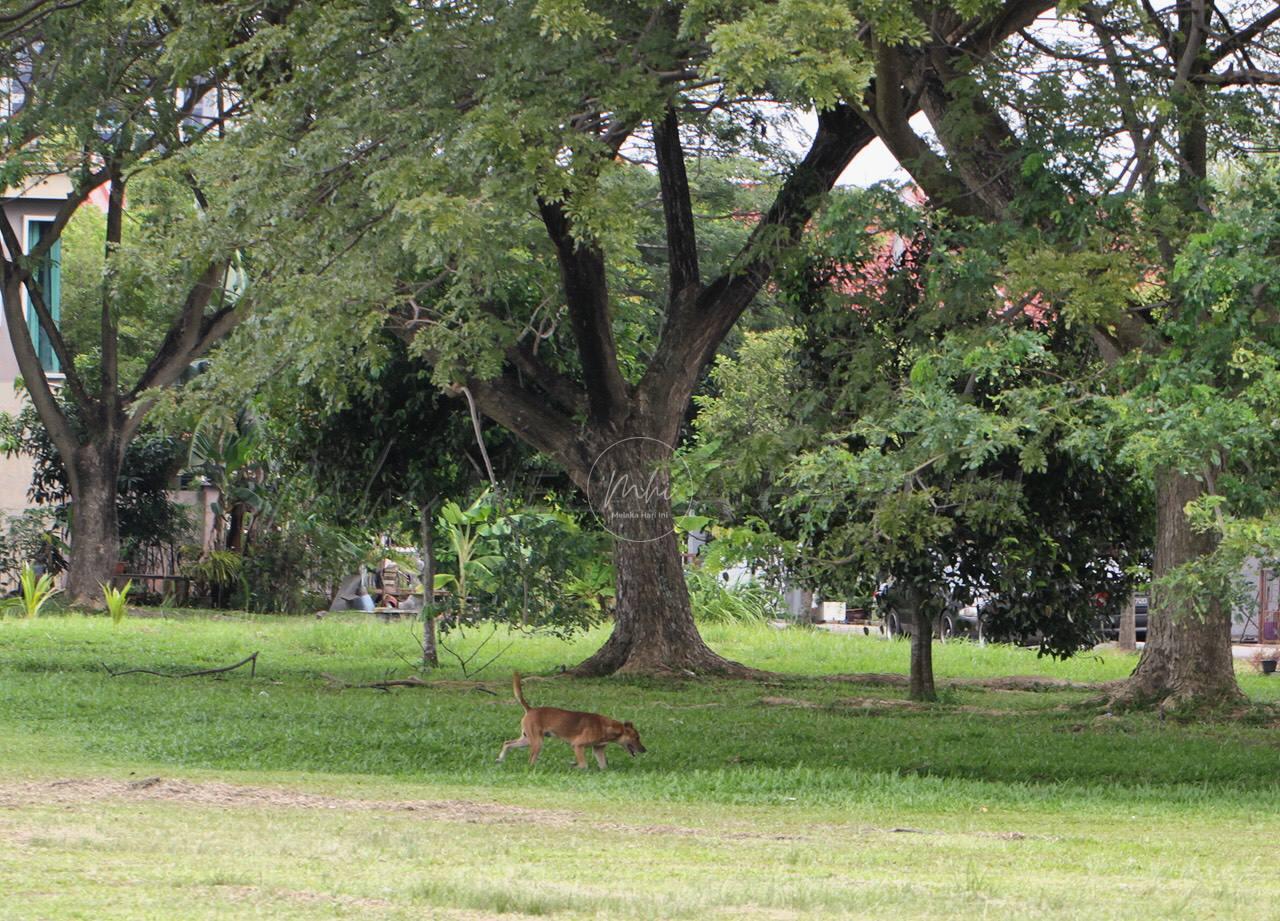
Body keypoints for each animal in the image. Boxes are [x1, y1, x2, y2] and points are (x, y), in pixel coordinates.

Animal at [494, 670, 645, 767]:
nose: (645, 750)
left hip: (527, 739)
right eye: (636, 738)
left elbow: (603, 766)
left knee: (507, 743)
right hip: (537, 742)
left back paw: (500, 759)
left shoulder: (598, 749)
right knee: (530, 760)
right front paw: (574, 767)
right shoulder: (577, 745)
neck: (607, 728)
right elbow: (583, 765)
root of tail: (531, 709)